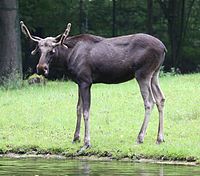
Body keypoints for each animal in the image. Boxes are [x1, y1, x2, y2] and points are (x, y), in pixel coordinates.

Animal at [21, 20, 166, 150]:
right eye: (39, 50)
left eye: (52, 50)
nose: (41, 68)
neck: (67, 58)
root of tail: (164, 48)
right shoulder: (79, 82)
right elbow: (78, 108)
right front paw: (75, 137)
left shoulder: (86, 81)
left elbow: (86, 111)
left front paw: (87, 142)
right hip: (155, 74)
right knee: (161, 99)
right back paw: (160, 138)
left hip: (143, 74)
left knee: (149, 102)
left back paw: (140, 137)